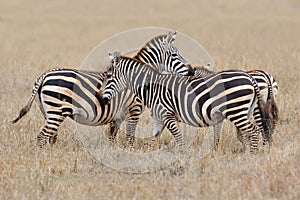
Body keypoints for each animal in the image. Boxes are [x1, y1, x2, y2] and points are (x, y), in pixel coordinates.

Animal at [11, 31, 193, 148]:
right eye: (175, 55)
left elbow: (111, 137)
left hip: (48, 112)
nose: (191, 71)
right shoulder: (133, 110)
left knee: (50, 137)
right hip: (56, 111)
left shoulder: (118, 115)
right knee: (42, 137)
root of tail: (44, 75)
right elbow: (130, 138)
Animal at [99, 51, 270, 153]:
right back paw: (249, 153)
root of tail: (250, 77)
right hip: (245, 111)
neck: (152, 88)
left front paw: (182, 156)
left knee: (254, 131)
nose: (101, 99)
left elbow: (178, 137)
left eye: (108, 76)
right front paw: (146, 153)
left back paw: (252, 157)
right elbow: (153, 138)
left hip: (236, 111)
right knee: (249, 132)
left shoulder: (167, 115)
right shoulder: (159, 118)